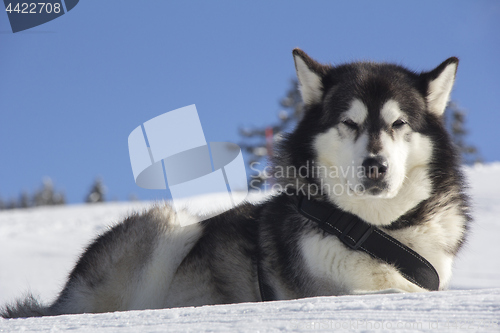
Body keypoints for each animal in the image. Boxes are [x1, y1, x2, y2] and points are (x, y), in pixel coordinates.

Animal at [1, 48, 468, 316]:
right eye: (349, 123)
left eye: (398, 123)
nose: (376, 166)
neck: (371, 229)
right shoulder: (328, 290)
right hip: (171, 224)